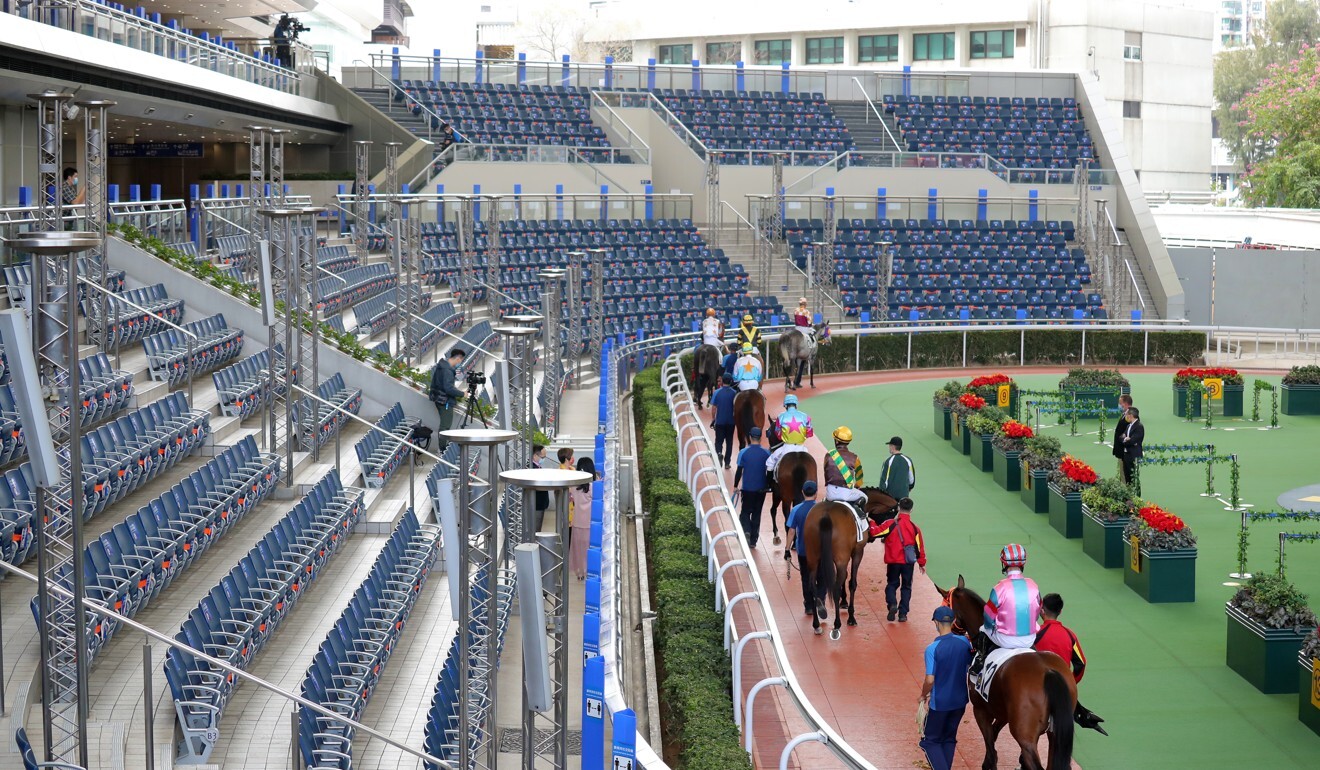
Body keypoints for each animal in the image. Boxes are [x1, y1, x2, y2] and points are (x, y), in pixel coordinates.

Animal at [797, 491, 902, 641]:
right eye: (890, 514)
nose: (885, 535)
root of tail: (825, 515)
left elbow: (845, 577)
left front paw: (844, 602)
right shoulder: (857, 552)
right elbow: (852, 582)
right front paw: (851, 617)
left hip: (813, 558)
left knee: (812, 587)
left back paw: (817, 625)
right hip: (841, 558)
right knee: (834, 588)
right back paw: (836, 625)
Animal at [934, 578, 1077, 770]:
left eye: (944, 604)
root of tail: (1049, 672)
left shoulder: (981, 709)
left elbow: (990, 746)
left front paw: (988, 763)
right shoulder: (1003, 712)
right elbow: (993, 738)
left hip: (1024, 736)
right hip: (1056, 734)